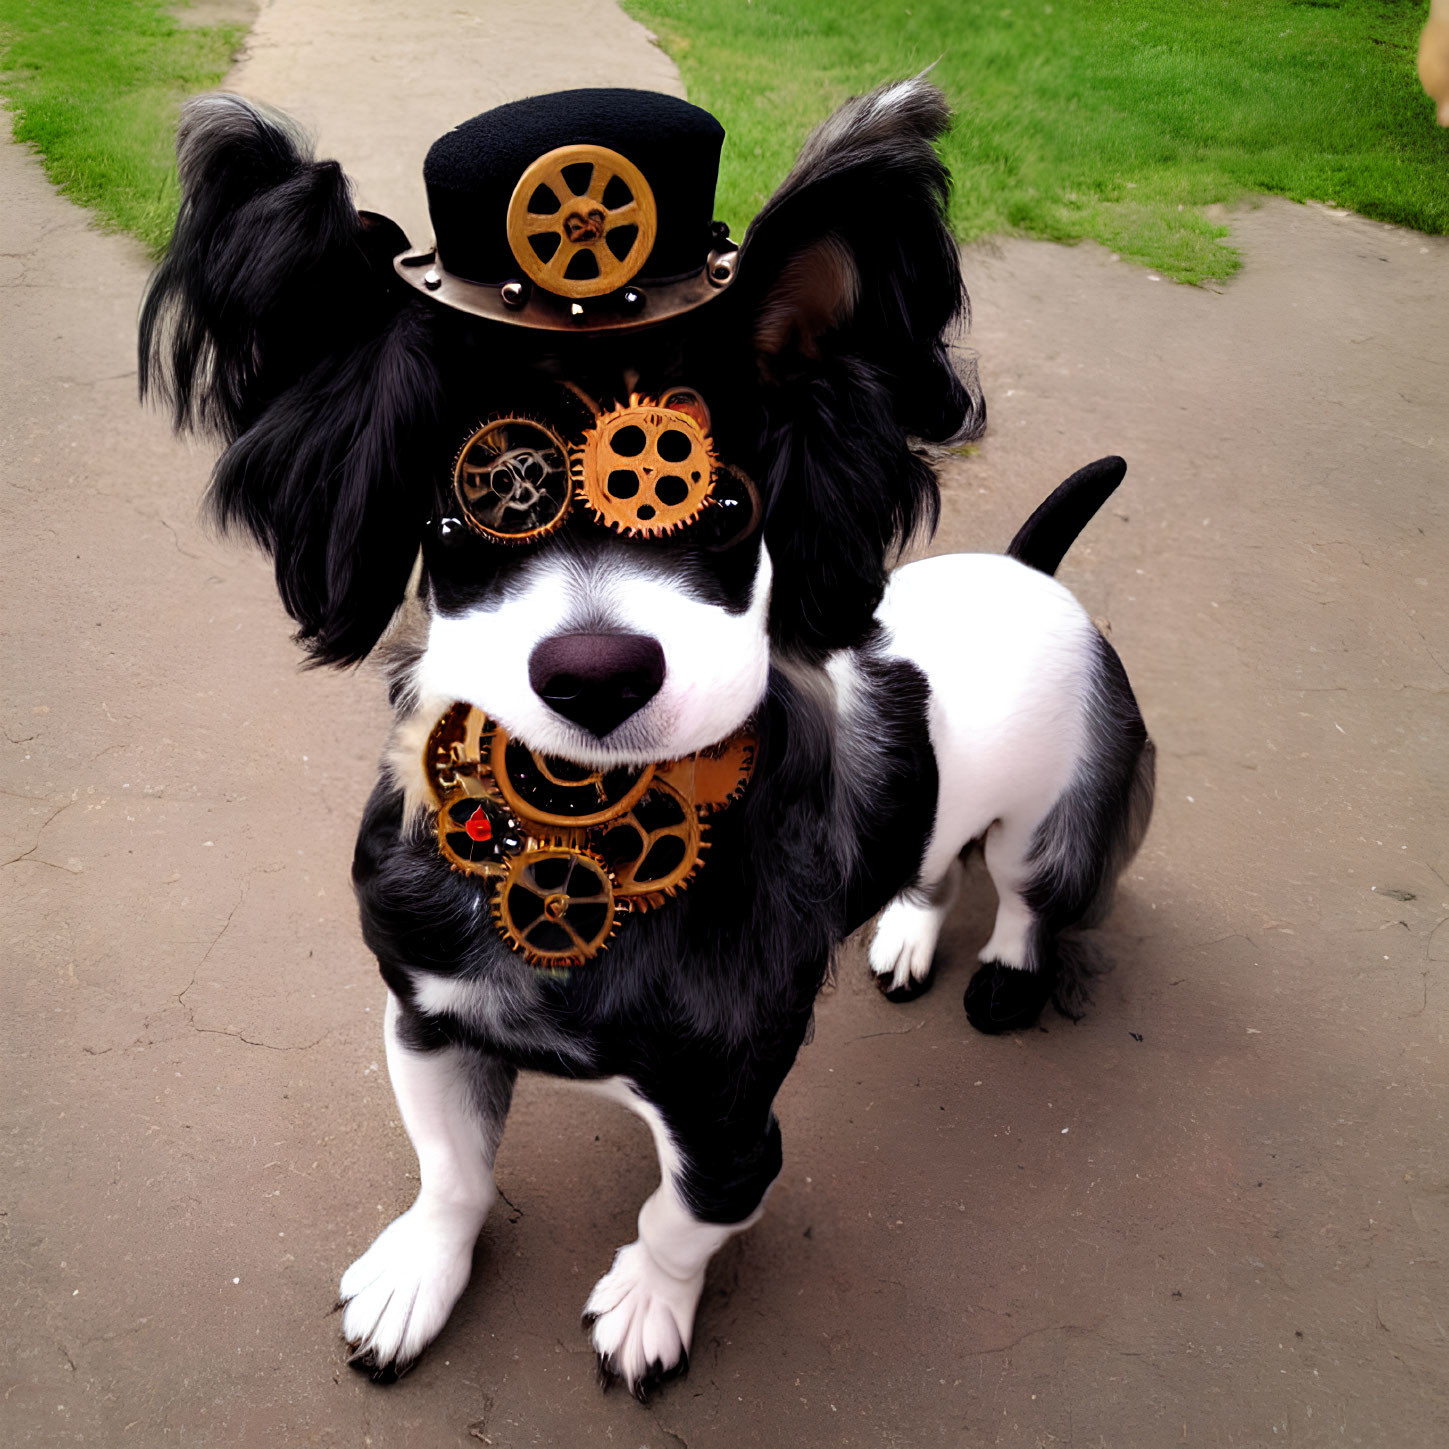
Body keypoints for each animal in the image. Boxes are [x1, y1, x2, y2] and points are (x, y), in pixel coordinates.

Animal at [138, 76, 1153, 1391]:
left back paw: (1006, 973)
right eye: (463, 516)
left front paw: (647, 1304)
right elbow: (452, 1171)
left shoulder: (730, 1112)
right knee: (933, 862)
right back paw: (908, 935)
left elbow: (683, 1217)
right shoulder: (426, 1013)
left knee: (1030, 893)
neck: (576, 842)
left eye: (722, 506)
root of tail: (1033, 573)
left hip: (1060, 813)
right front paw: (420, 1273)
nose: (595, 674)